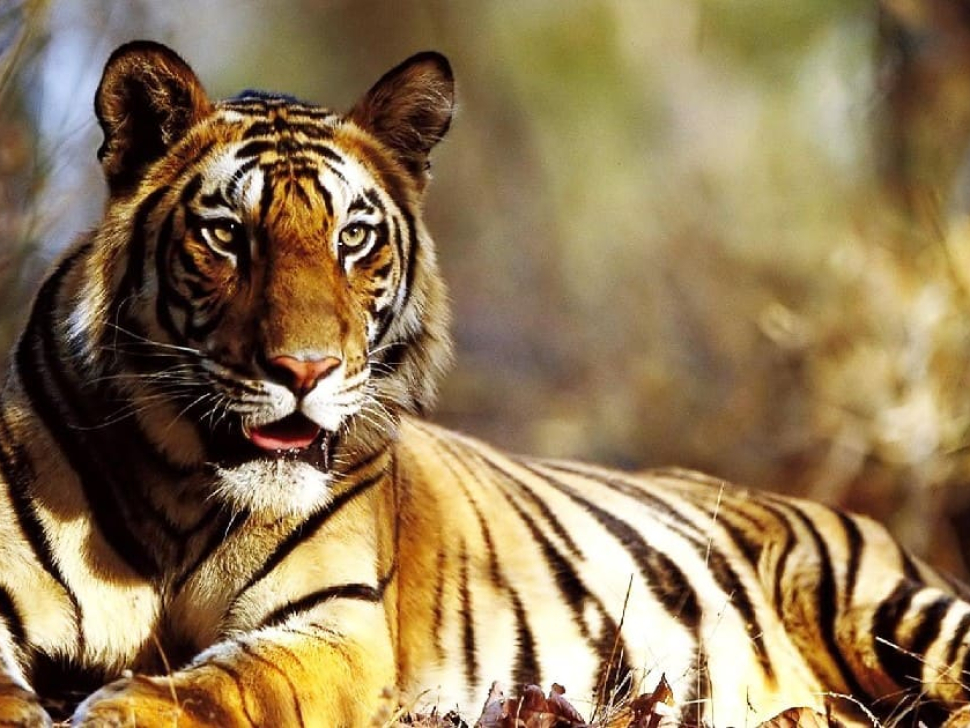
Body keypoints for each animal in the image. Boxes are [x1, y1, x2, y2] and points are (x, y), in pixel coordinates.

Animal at [0, 38, 969, 728]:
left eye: (353, 237)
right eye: (227, 236)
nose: (305, 371)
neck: (180, 485)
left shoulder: (330, 626)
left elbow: (225, 684)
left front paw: (121, 708)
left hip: (896, 612)